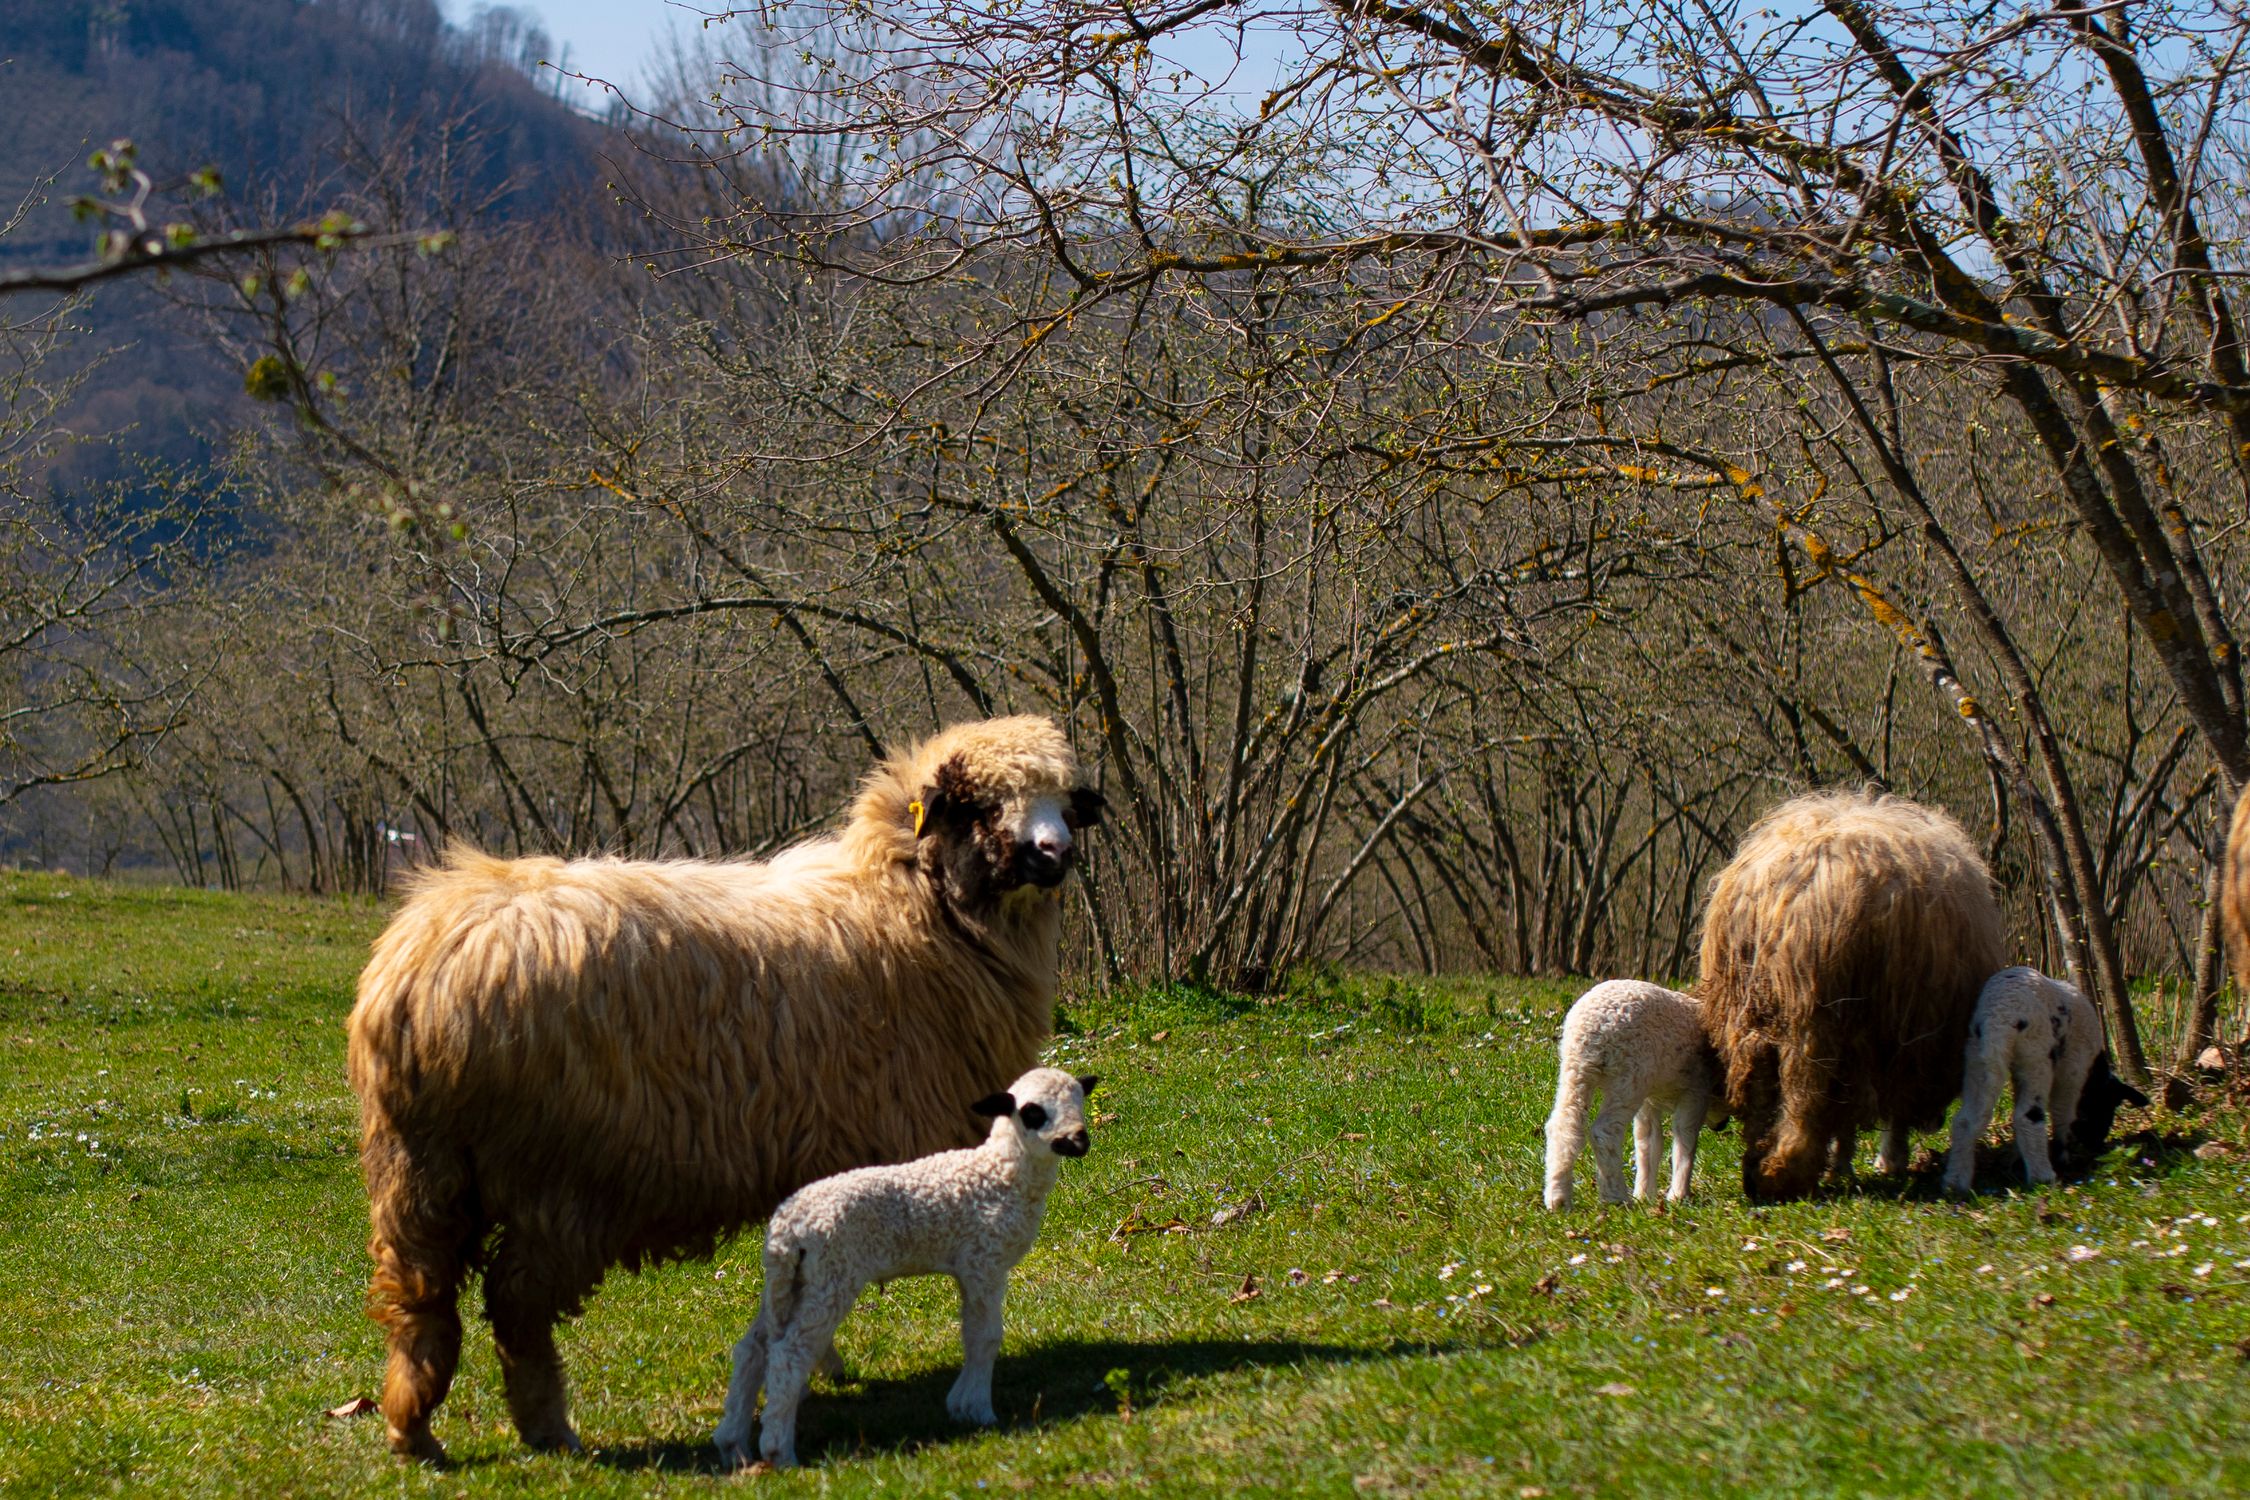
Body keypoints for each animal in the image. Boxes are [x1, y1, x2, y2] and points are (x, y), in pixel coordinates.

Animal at [714, 1067, 1097, 1470]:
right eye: (1033, 1112)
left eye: (1079, 1100)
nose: (1079, 1140)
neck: (1001, 1174)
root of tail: (785, 1229)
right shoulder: (985, 1261)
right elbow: (987, 1336)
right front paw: (978, 1410)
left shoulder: (967, 1267)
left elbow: (970, 1333)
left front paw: (960, 1405)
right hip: (831, 1276)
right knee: (789, 1355)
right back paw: (780, 1453)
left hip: (790, 1283)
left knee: (753, 1349)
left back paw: (733, 1445)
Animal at [1543, 981, 1724, 1210]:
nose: (1721, 1126)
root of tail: (1593, 1028)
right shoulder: (1695, 1091)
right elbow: (1686, 1138)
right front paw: (1679, 1195)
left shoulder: (1648, 1099)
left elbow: (1648, 1142)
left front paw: (1645, 1194)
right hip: (1628, 1075)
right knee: (1605, 1131)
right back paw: (1616, 1196)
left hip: (1576, 1070)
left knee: (1563, 1125)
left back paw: (1558, 1198)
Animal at [1700, 788, 2006, 1202]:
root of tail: (1793, 892)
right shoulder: (1904, 1043)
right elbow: (1892, 1113)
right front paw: (1886, 1161)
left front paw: (1843, 1166)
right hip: (1822, 1019)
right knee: (1807, 1097)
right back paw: (1788, 1174)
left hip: (1748, 1012)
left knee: (1763, 1086)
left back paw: (1759, 1174)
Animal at [1944, 967, 2149, 1193]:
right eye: (2108, 1107)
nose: (2096, 1144)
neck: (2094, 1071)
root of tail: (1999, 1016)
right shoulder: (2072, 1071)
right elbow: (2063, 1112)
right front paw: (2062, 1156)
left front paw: (2016, 1159)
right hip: (2037, 1056)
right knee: (2028, 1116)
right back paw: (2042, 1177)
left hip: (1978, 1057)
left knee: (1967, 1119)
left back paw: (1955, 1182)